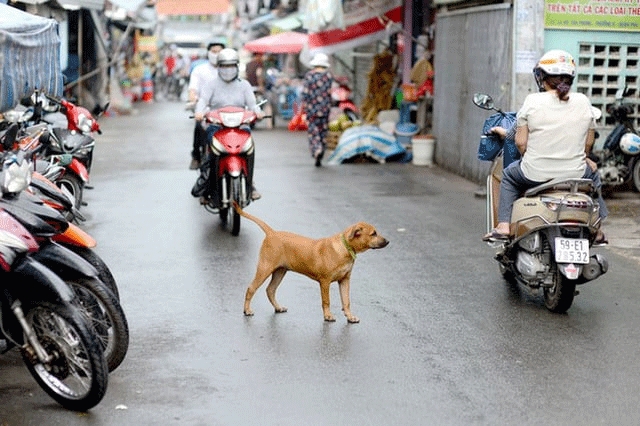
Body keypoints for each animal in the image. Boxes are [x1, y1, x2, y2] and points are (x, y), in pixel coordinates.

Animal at [232, 205, 388, 324]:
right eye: (373, 234)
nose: (388, 241)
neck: (345, 248)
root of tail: (272, 233)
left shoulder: (344, 280)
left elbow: (346, 301)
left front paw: (350, 317)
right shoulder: (325, 281)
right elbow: (326, 301)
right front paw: (328, 316)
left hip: (280, 271)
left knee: (270, 290)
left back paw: (278, 307)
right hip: (265, 268)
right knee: (251, 288)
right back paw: (247, 310)